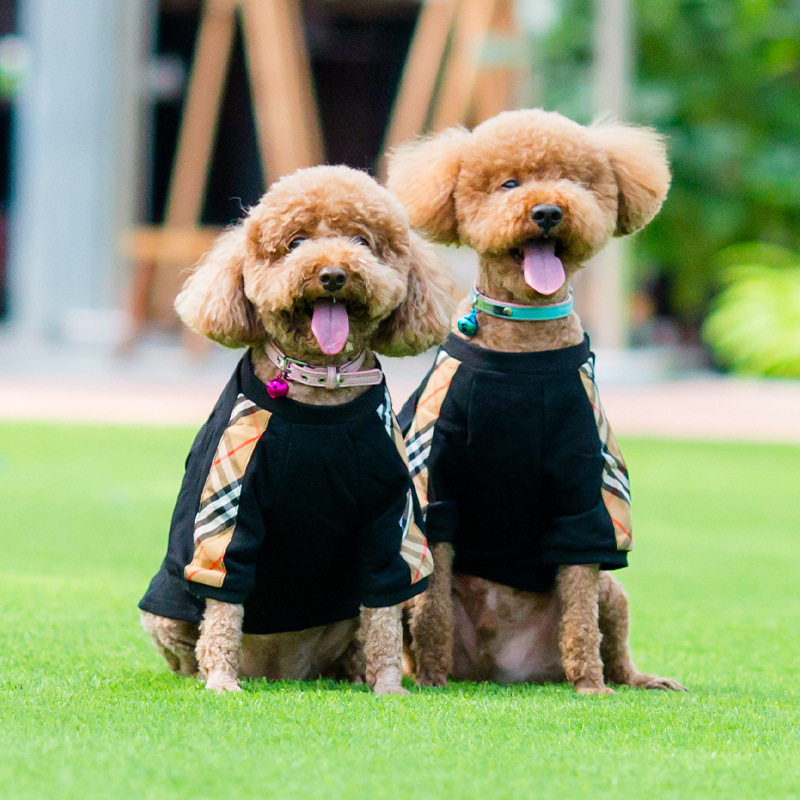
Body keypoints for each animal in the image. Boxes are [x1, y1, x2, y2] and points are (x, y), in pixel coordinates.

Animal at [138, 164, 456, 692]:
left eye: (361, 241)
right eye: (296, 242)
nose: (333, 274)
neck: (320, 387)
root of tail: (280, 672)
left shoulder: (389, 515)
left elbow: (385, 613)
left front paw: (389, 686)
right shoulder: (231, 509)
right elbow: (224, 602)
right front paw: (221, 682)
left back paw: (355, 676)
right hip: (161, 610)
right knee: (187, 647)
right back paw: (203, 674)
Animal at [386, 108, 680, 692]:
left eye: (572, 181)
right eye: (509, 184)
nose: (547, 210)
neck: (523, 346)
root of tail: (501, 670)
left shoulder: (583, 485)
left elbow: (580, 603)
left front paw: (590, 687)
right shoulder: (437, 479)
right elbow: (432, 609)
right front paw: (431, 679)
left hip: (614, 594)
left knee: (611, 635)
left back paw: (634, 680)